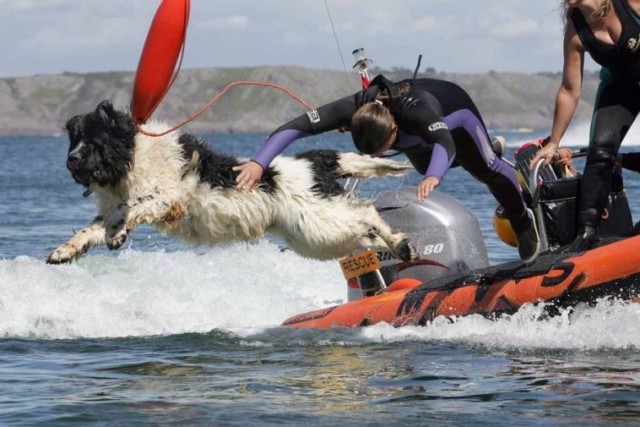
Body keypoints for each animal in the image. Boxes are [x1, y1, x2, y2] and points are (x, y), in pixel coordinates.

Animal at [43, 102, 416, 266]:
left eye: (93, 141)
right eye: (74, 139)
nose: (70, 160)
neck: (132, 157)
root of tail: (315, 161)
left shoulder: (168, 196)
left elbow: (130, 208)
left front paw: (118, 235)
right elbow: (93, 227)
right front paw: (64, 251)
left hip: (318, 220)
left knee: (367, 212)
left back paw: (401, 243)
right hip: (316, 237)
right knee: (366, 231)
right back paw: (401, 247)